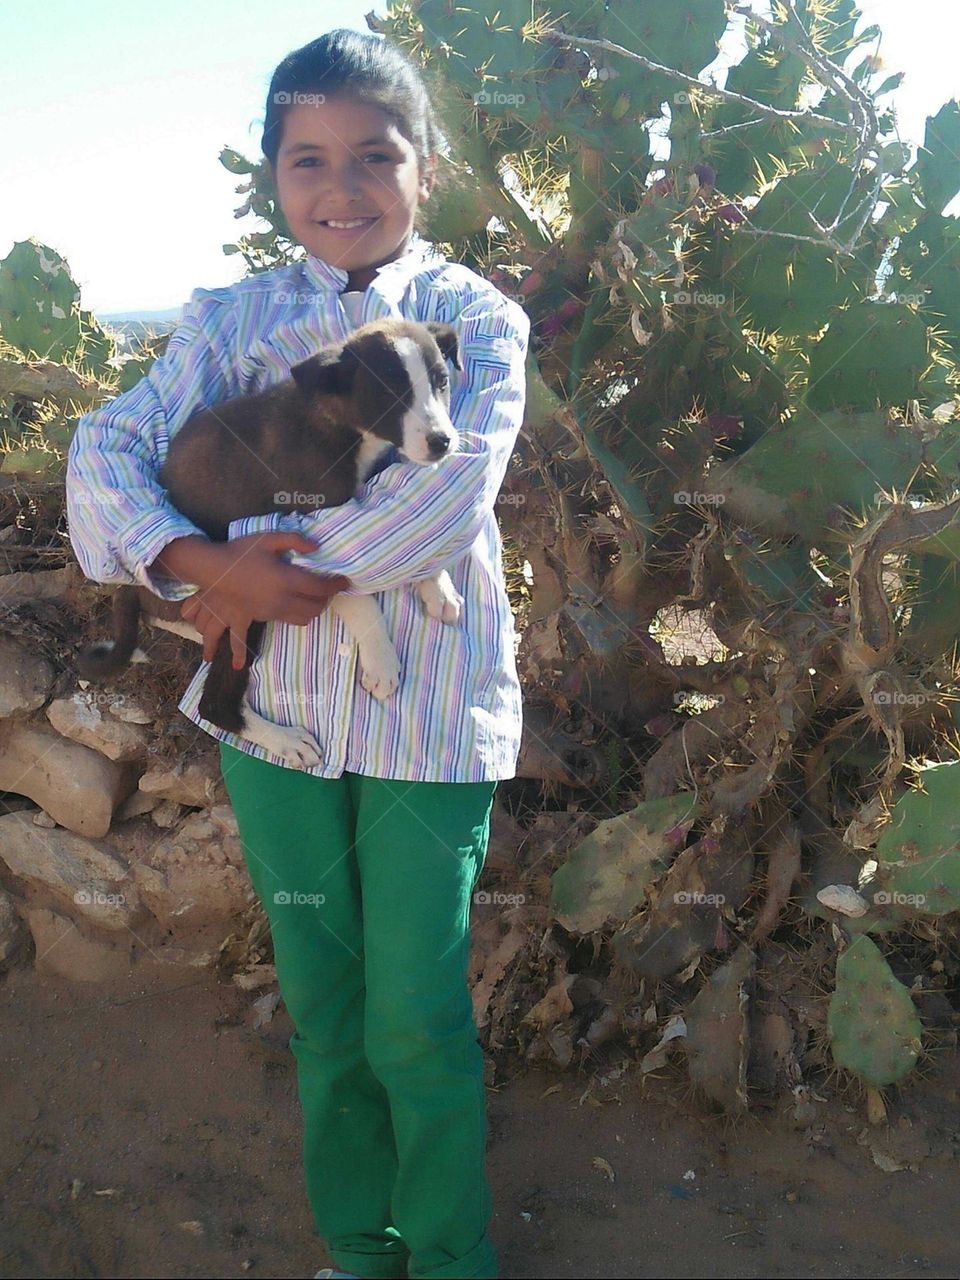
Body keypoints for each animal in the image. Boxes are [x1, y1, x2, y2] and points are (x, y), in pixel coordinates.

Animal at [79, 317, 463, 768]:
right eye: (389, 393)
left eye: (441, 382)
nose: (442, 441)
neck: (339, 425)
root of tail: (128, 586)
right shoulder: (309, 534)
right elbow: (357, 598)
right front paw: (381, 659)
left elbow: (412, 539)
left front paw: (438, 587)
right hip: (241, 614)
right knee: (213, 704)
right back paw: (283, 740)